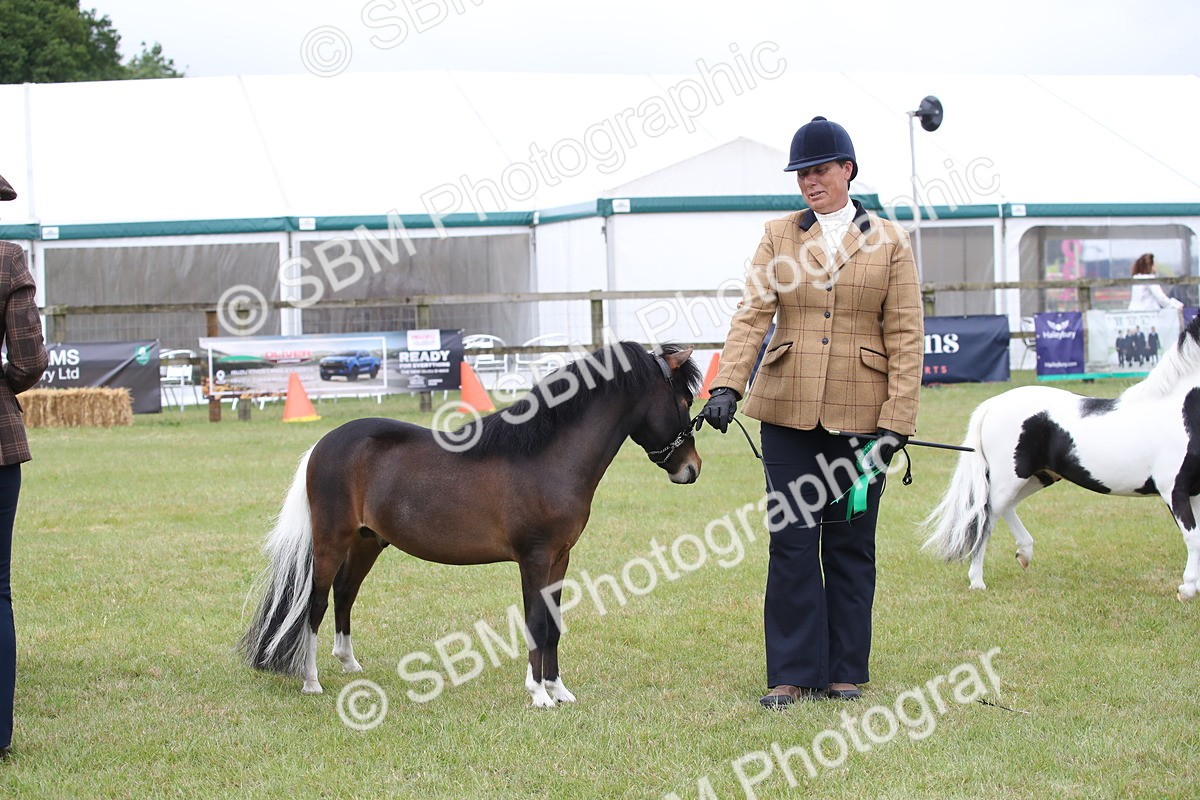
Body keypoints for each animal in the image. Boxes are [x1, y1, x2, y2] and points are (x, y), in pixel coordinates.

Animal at [239, 341, 702, 706]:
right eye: (683, 402)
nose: (692, 468)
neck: (547, 456)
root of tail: (323, 444)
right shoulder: (534, 559)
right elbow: (536, 623)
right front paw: (538, 695)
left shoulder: (560, 559)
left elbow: (553, 626)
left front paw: (559, 690)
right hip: (330, 542)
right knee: (315, 603)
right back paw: (311, 681)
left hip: (368, 542)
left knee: (345, 593)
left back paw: (349, 662)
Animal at [922, 312, 1200, 599]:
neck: (1181, 412)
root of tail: (992, 405)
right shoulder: (1174, 491)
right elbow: (1193, 538)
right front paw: (1187, 589)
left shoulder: (1194, 491)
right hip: (1010, 478)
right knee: (986, 518)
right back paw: (977, 581)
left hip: (1038, 477)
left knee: (1004, 509)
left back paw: (1024, 553)